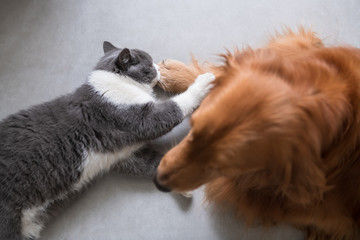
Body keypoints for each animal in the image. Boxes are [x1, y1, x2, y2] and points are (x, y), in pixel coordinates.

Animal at [0, 41, 214, 240]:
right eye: (149, 63)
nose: (159, 68)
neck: (115, 84)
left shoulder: (122, 154)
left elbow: (153, 162)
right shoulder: (139, 118)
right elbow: (174, 107)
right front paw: (204, 82)